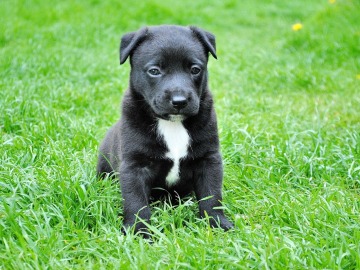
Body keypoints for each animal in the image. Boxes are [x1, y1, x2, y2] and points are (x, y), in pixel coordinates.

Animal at [97, 25, 235, 235]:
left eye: (195, 69)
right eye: (154, 71)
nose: (179, 101)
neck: (172, 123)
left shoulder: (208, 160)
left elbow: (212, 195)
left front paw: (217, 223)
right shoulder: (134, 166)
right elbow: (136, 202)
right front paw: (139, 231)